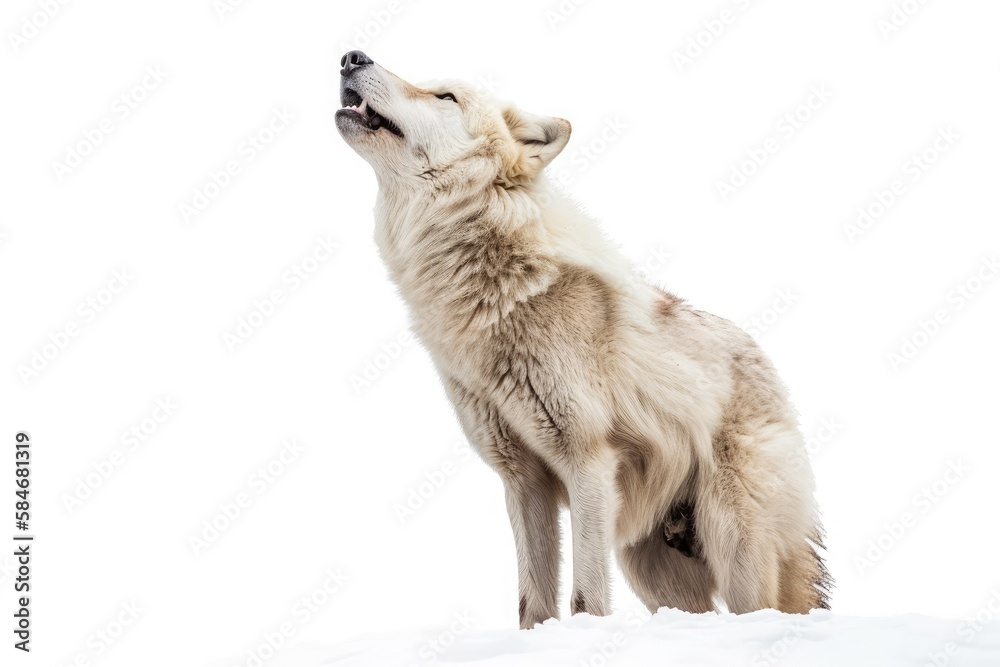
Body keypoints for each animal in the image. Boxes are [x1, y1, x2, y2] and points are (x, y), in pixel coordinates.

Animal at [334, 51, 828, 628]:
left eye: (444, 97)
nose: (352, 57)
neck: (495, 288)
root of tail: (768, 367)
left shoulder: (587, 464)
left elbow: (586, 598)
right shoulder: (522, 480)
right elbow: (532, 602)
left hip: (735, 549)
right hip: (653, 570)